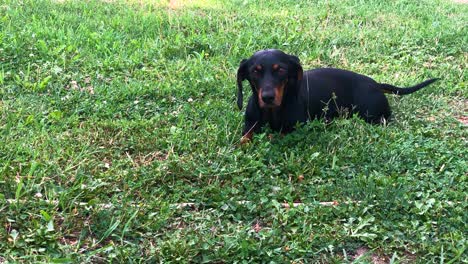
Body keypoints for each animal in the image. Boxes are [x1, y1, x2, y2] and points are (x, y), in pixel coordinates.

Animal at [238, 48, 438, 141]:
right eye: (255, 71)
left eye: (280, 70)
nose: (267, 98)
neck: (272, 112)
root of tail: (375, 84)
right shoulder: (248, 125)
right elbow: (244, 138)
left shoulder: (296, 128)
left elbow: (276, 135)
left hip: (371, 115)